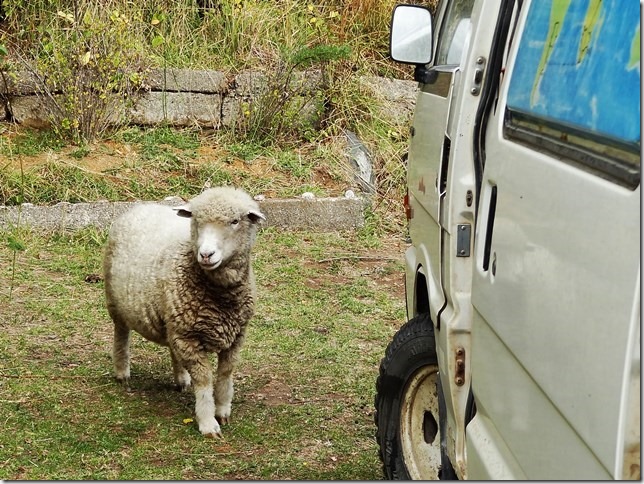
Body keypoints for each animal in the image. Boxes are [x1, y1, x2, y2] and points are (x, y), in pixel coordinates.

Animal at [103, 187, 264, 436]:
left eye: (235, 221)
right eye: (196, 220)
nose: (206, 254)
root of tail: (141, 206)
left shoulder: (236, 336)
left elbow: (225, 373)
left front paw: (223, 410)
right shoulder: (188, 338)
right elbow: (204, 380)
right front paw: (208, 422)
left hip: (173, 318)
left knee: (171, 346)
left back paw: (181, 379)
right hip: (116, 301)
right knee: (121, 334)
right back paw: (122, 371)